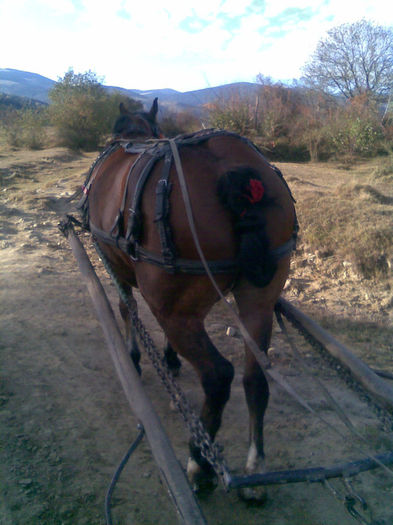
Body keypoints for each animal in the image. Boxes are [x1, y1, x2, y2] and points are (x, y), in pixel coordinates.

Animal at [83, 99, 298, 500]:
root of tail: (231, 171)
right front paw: (170, 361)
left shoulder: (115, 264)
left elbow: (126, 308)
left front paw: (135, 359)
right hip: (258, 302)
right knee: (254, 378)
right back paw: (255, 469)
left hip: (176, 312)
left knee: (218, 376)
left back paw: (200, 463)